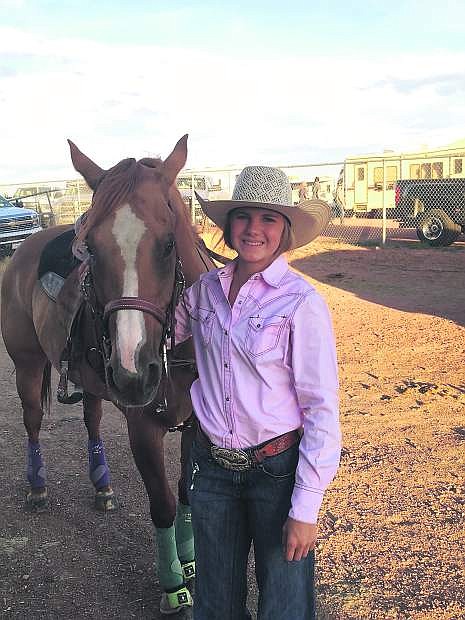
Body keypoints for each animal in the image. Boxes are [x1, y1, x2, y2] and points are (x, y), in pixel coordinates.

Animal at [0, 136, 214, 616]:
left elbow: (187, 494)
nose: (134, 372)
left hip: (95, 382)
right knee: (32, 421)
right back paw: (37, 487)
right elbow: (163, 504)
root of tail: (26, 244)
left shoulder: (197, 425)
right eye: (92, 249)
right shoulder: (143, 428)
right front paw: (174, 586)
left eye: (169, 244)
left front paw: (191, 562)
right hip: (28, 366)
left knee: (92, 421)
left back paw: (102, 485)